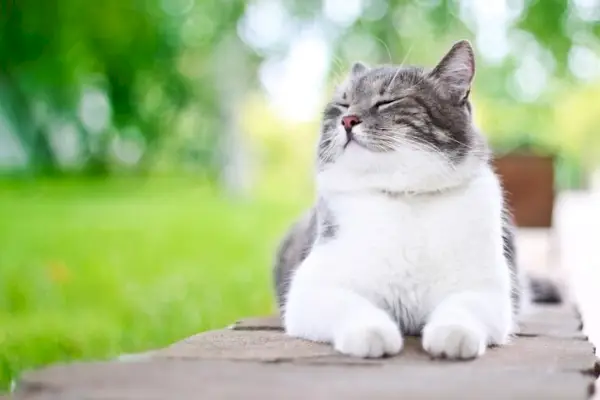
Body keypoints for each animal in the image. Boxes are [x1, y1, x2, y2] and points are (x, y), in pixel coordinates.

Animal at [274, 39, 564, 360]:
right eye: (342, 104)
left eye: (388, 101)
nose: (347, 120)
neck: (405, 196)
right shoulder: (310, 290)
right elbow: (351, 306)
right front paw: (371, 333)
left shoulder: (486, 292)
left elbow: (462, 308)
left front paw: (454, 334)